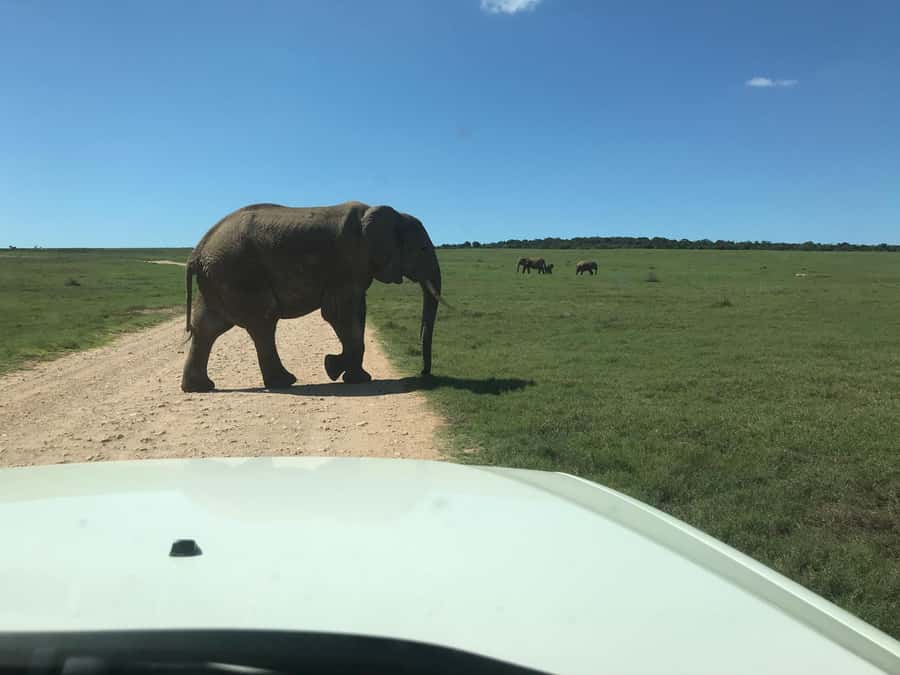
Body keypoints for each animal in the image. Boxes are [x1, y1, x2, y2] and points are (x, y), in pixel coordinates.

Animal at [180, 201, 443, 392]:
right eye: (422, 249)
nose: (423, 373)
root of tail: (197, 251)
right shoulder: (348, 260)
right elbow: (339, 313)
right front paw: (333, 368)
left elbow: (357, 312)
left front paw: (354, 376)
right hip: (239, 272)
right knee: (263, 323)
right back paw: (285, 382)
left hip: (219, 277)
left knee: (209, 326)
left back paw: (200, 388)